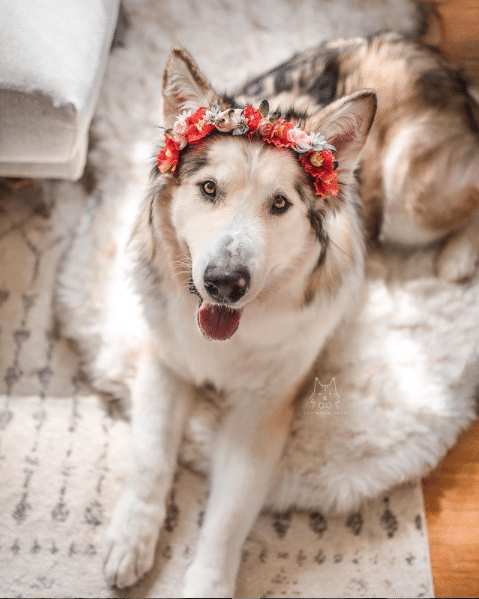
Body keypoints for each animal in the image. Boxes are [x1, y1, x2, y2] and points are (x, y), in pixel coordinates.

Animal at [58, 31, 479, 599]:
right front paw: (131, 537)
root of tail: (424, 51)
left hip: (410, 200)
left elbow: (228, 515)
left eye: (279, 204)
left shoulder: (262, 411)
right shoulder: (165, 365)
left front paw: (207, 584)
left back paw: (457, 257)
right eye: (209, 189)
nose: (224, 283)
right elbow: (149, 458)